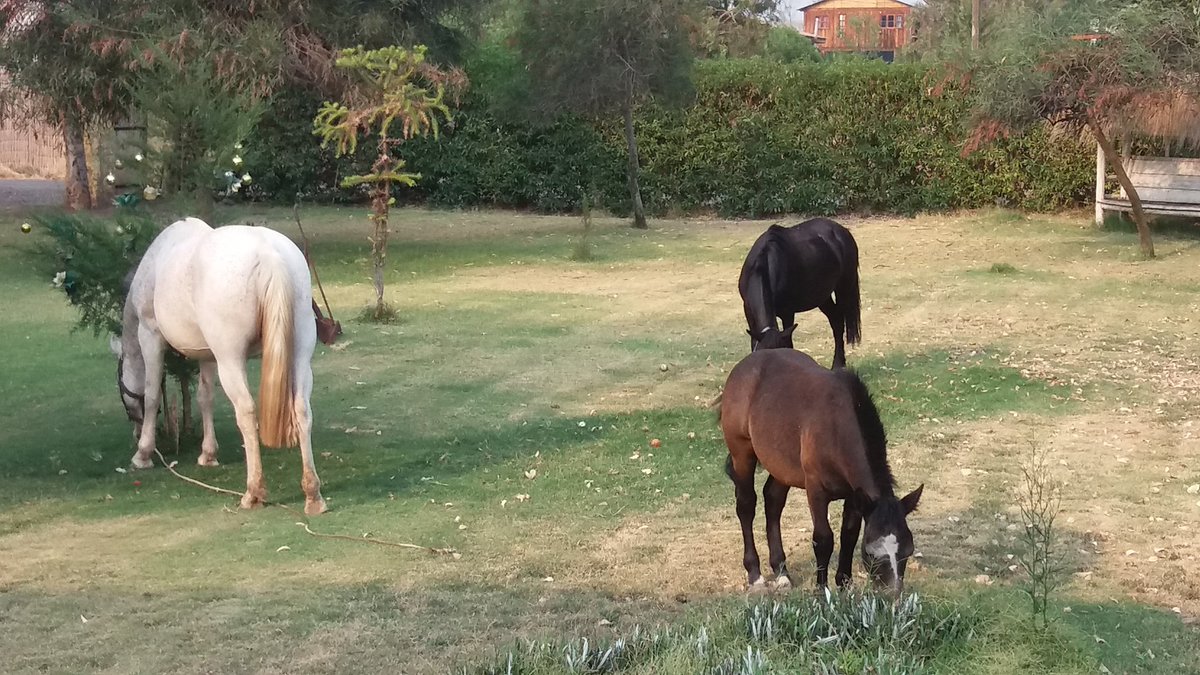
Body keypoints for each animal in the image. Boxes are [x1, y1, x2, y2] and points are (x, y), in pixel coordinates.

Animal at [111, 217, 327, 515]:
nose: (134, 430)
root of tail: (268, 255)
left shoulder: (150, 335)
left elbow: (153, 394)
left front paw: (143, 453)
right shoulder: (207, 354)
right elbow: (205, 397)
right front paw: (208, 453)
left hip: (231, 359)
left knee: (246, 411)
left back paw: (253, 492)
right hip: (299, 354)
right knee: (302, 410)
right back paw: (313, 494)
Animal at [719, 348, 923, 593]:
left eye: (908, 551)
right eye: (871, 553)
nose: (893, 595)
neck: (836, 428)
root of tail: (746, 364)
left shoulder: (854, 495)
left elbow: (849, 534)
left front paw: (844, 585)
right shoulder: (816, 490)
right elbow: (823, 538)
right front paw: (821, 590)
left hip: (782, 466)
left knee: (773, 501)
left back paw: (781, 572)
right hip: (742, 454)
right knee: (746, 505)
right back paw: (755, 575)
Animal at [737, 218, 861, 368]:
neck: (763, 266)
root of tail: (842, 230)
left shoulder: (788, 313)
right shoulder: (748, 310)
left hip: (844, 289)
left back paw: (838, 363)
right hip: (822, 297)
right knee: (836, 320)